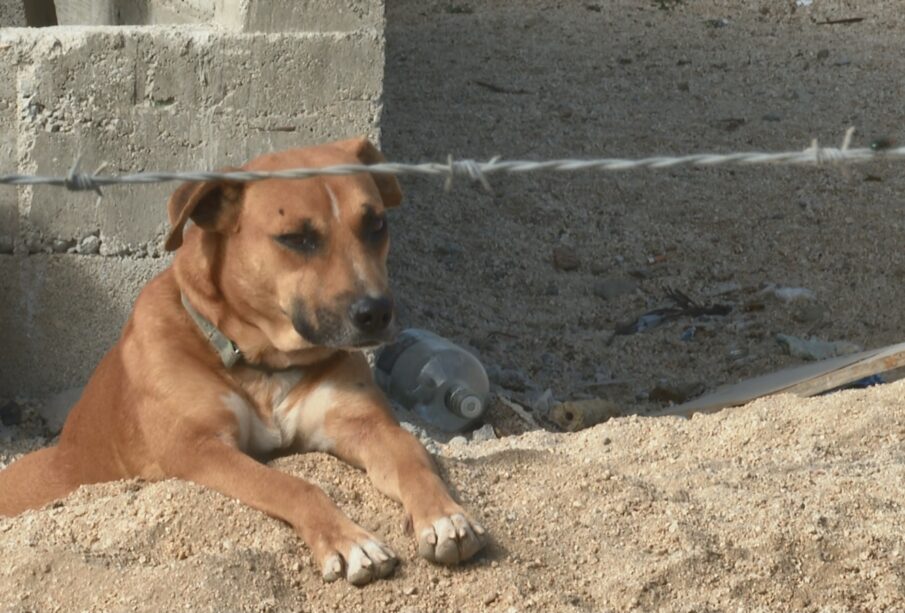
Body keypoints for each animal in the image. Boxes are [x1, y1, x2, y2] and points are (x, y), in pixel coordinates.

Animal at [0, 137, 488, 584]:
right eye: (297, 239)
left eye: (376, 225)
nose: (376, 313)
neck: (264, 365)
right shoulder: (200, 449)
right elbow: (293, 484)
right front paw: (349, 541)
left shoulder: (366, 425)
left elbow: (412, 460)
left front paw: (444, 516)